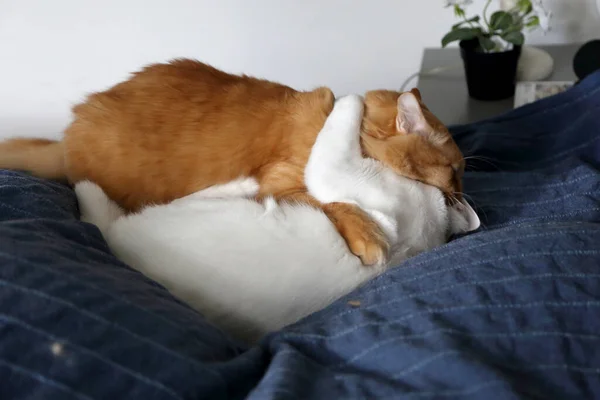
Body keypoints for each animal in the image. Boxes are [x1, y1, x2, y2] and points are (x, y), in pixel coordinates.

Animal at [0, 58, 464, 266]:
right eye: (456, 170)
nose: (462, 194)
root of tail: (66, 137)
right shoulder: (282, 182)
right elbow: (332, 202)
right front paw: (368, 236)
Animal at [76, 95, 478, 346]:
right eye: (456, 172)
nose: (457, 191)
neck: (425, 230)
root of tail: (117, 245)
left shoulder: (337, 171)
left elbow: (344, 115)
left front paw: (350, 99)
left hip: (168, 210)